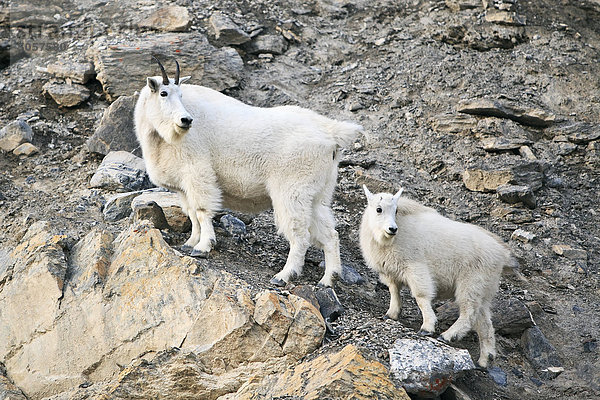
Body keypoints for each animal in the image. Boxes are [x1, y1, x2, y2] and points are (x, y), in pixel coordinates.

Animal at [134, 57, 364, 288]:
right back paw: (328, 279)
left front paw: (203, 246)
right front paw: (190, 242)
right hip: (317, 194)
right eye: (164, 93)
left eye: (181, 95)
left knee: (299, 234)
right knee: (330, 233)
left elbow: (201, 211)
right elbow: (191, 213)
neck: (160, 138)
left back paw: (284, 275)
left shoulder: (197, 172)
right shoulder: (183, 186)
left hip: (292, 190)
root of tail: (331, 133)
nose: (186, 120)